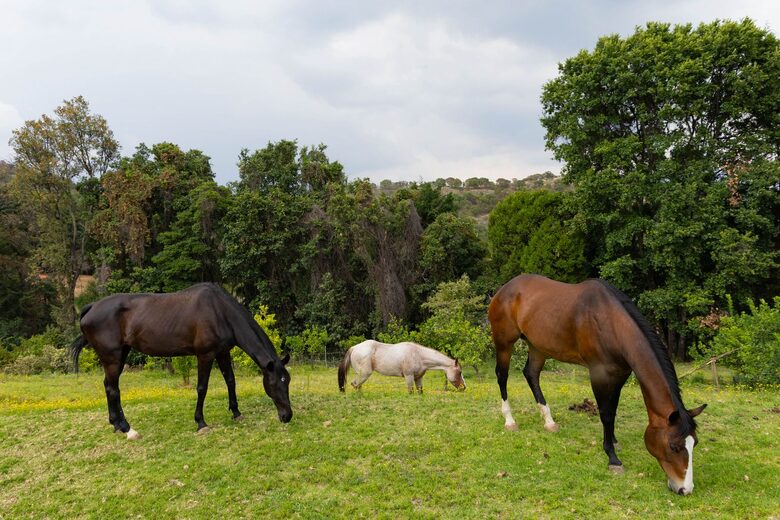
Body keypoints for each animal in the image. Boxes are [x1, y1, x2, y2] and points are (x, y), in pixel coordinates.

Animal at [71, 283, 292, 439]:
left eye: (287, 382)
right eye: (275, 383)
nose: (287, 416)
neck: (219, 311)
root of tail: (91, 307)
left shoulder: (223, 353)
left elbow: (231, 380)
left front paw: (236, 412)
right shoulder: (205, 355)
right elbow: (202, 388)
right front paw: (201, 423)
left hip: (119, 356)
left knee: (108, 386)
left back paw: (116, 424)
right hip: (113, 358)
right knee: (113, 390)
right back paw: (127, 429)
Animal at [338, 340, 466, 394]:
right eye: (459, 372)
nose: (464, 387)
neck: (418, 354)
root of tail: (354, 348)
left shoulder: (418, 378)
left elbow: (420, 391)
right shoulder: (409, 377)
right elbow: (410, 391)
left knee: (357, 385)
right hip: (364, 374)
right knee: (355, 384)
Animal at [488, 274, 706, 495]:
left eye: (694, 443)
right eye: (673, 446)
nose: (685, 489)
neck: (611, 324)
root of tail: (504, 289)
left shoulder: (620, 374)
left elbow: (613, 411)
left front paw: (614, 442)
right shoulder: (599, 374)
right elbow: (606, 414)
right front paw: (613, 458)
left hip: (537, 346)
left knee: (531, 375)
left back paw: (549, 421)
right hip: (504, 342)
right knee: (502, 376)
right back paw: (510, 420)